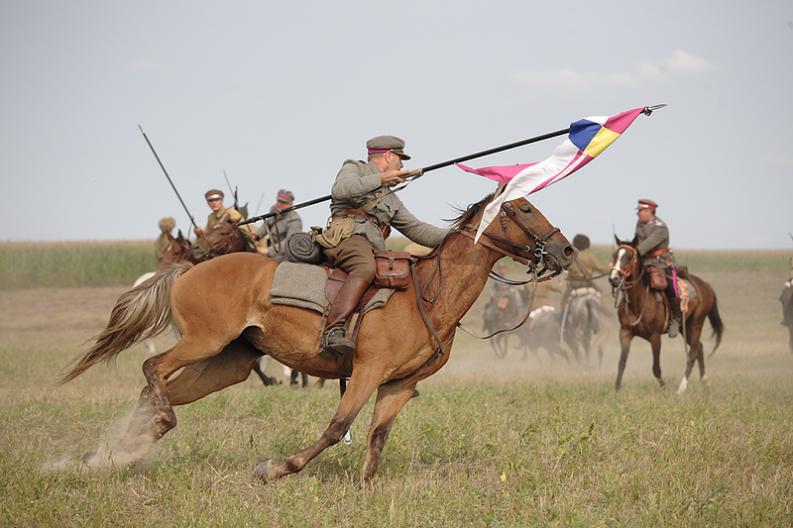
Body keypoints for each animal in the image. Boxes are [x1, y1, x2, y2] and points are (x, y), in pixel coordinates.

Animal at [58, 195, 572, 482]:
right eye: (526, 207)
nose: (565, 250)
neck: (426, 294)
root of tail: (187, 268)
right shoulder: (366, 372)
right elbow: (337, 428)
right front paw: (275, 469)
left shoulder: (398, 385)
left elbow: (377, 437)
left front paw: (364, 486)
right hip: (203, 342)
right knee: (153, 370)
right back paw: (144, 435)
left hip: (228, 363)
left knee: (158, 387)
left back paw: (113, 454)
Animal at [608, 238, 724, 392]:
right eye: (614, 256)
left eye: (628, 257)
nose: (613, 279)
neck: (638, 302)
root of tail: (707, 286)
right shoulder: (625, 333)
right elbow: (621, 363)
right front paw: (616, 389)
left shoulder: (655, 337)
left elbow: (656, 368)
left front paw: (664, 388)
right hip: (685, 327)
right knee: (699, 347)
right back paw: (705, 383)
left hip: (696, 323)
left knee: (693, 352)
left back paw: (681, 389)